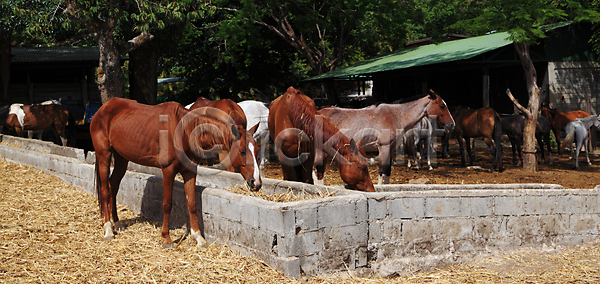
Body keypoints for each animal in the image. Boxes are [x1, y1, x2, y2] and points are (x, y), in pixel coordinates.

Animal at [91, 98, 260, 248]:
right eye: (242, 151)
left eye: (257, 150)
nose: (256, 183)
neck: (184, 132)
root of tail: (102, 109)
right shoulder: (168, 170)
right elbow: (167, 204)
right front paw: (166, 239)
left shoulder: (190, 171)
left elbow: (191, 204)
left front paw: (199, 238)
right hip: (104, 156)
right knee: (105, 190)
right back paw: (108, 230)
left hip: (121, 159)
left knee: (113, 186)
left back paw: (116, 223)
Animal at [316, 90, 452, 185]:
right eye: (441, 105)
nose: (452, 124)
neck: (395, 116)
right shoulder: (384, 147)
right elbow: (382, 171)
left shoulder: (391, 149)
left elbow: (388, 171)